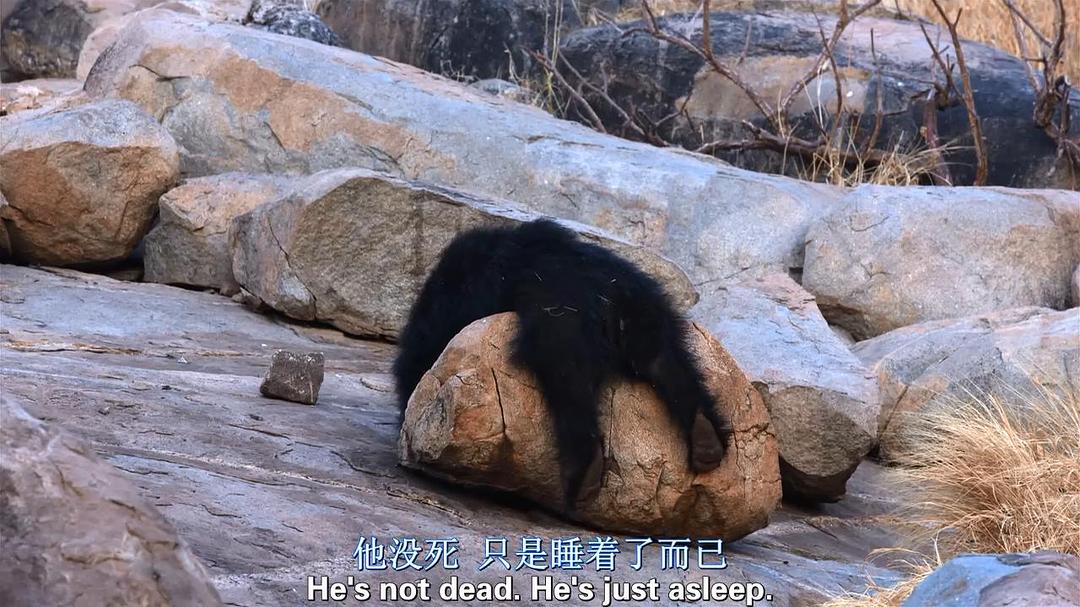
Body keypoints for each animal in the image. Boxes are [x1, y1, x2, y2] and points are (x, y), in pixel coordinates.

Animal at [393, 219, 730, 510]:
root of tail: (607, 294)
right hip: (645, 308)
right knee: (664, 360)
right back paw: (706, 438)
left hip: (561, 317)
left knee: (568, 377)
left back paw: (584, 472)